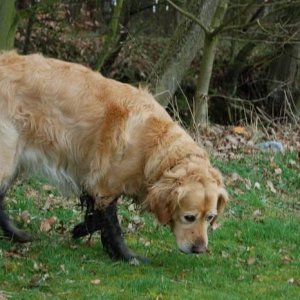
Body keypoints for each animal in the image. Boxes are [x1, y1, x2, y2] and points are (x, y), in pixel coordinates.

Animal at [0, 52, 227, 262]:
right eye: (189, 217)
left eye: (210, 217)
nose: (199, 249)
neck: (153, 146)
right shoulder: (105, 186)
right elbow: (112, 226)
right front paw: (127, 256)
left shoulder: (97, 185)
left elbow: (95, 218)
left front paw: (79, 229)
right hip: (8, 156)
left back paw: (17, 235)